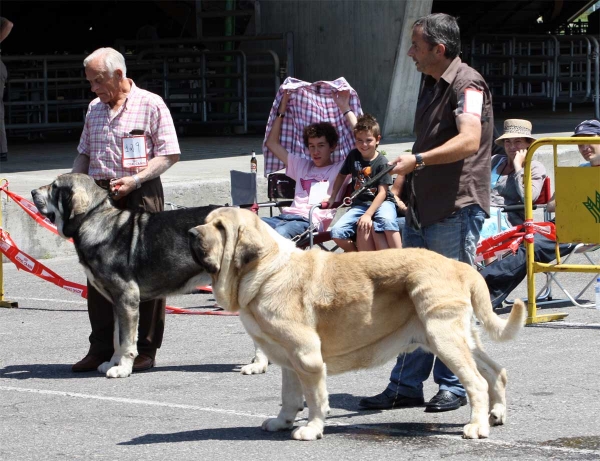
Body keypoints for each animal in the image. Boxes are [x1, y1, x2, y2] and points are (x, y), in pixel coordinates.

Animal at [31, 172, 218, 378]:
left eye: (55, 187)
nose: (32, 192)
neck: (93, 220)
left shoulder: (127, 297)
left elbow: (127, 339)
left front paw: (123, 368)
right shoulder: (116, 302)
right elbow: (117, 337)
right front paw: (113, 362)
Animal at [189, 208, 524, 438]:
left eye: (220, 228)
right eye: (207, 221)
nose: (191, 233)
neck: (266, 269)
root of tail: (459, 266)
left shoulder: (306, 356)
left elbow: (314, 398)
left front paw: (312, 428)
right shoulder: (288, 359)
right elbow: (290, 396)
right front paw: (282, 422)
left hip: (444, 338)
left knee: (477, 382)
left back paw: (476, 426)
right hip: (459, 339)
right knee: (496, 372)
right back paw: (496, 414)